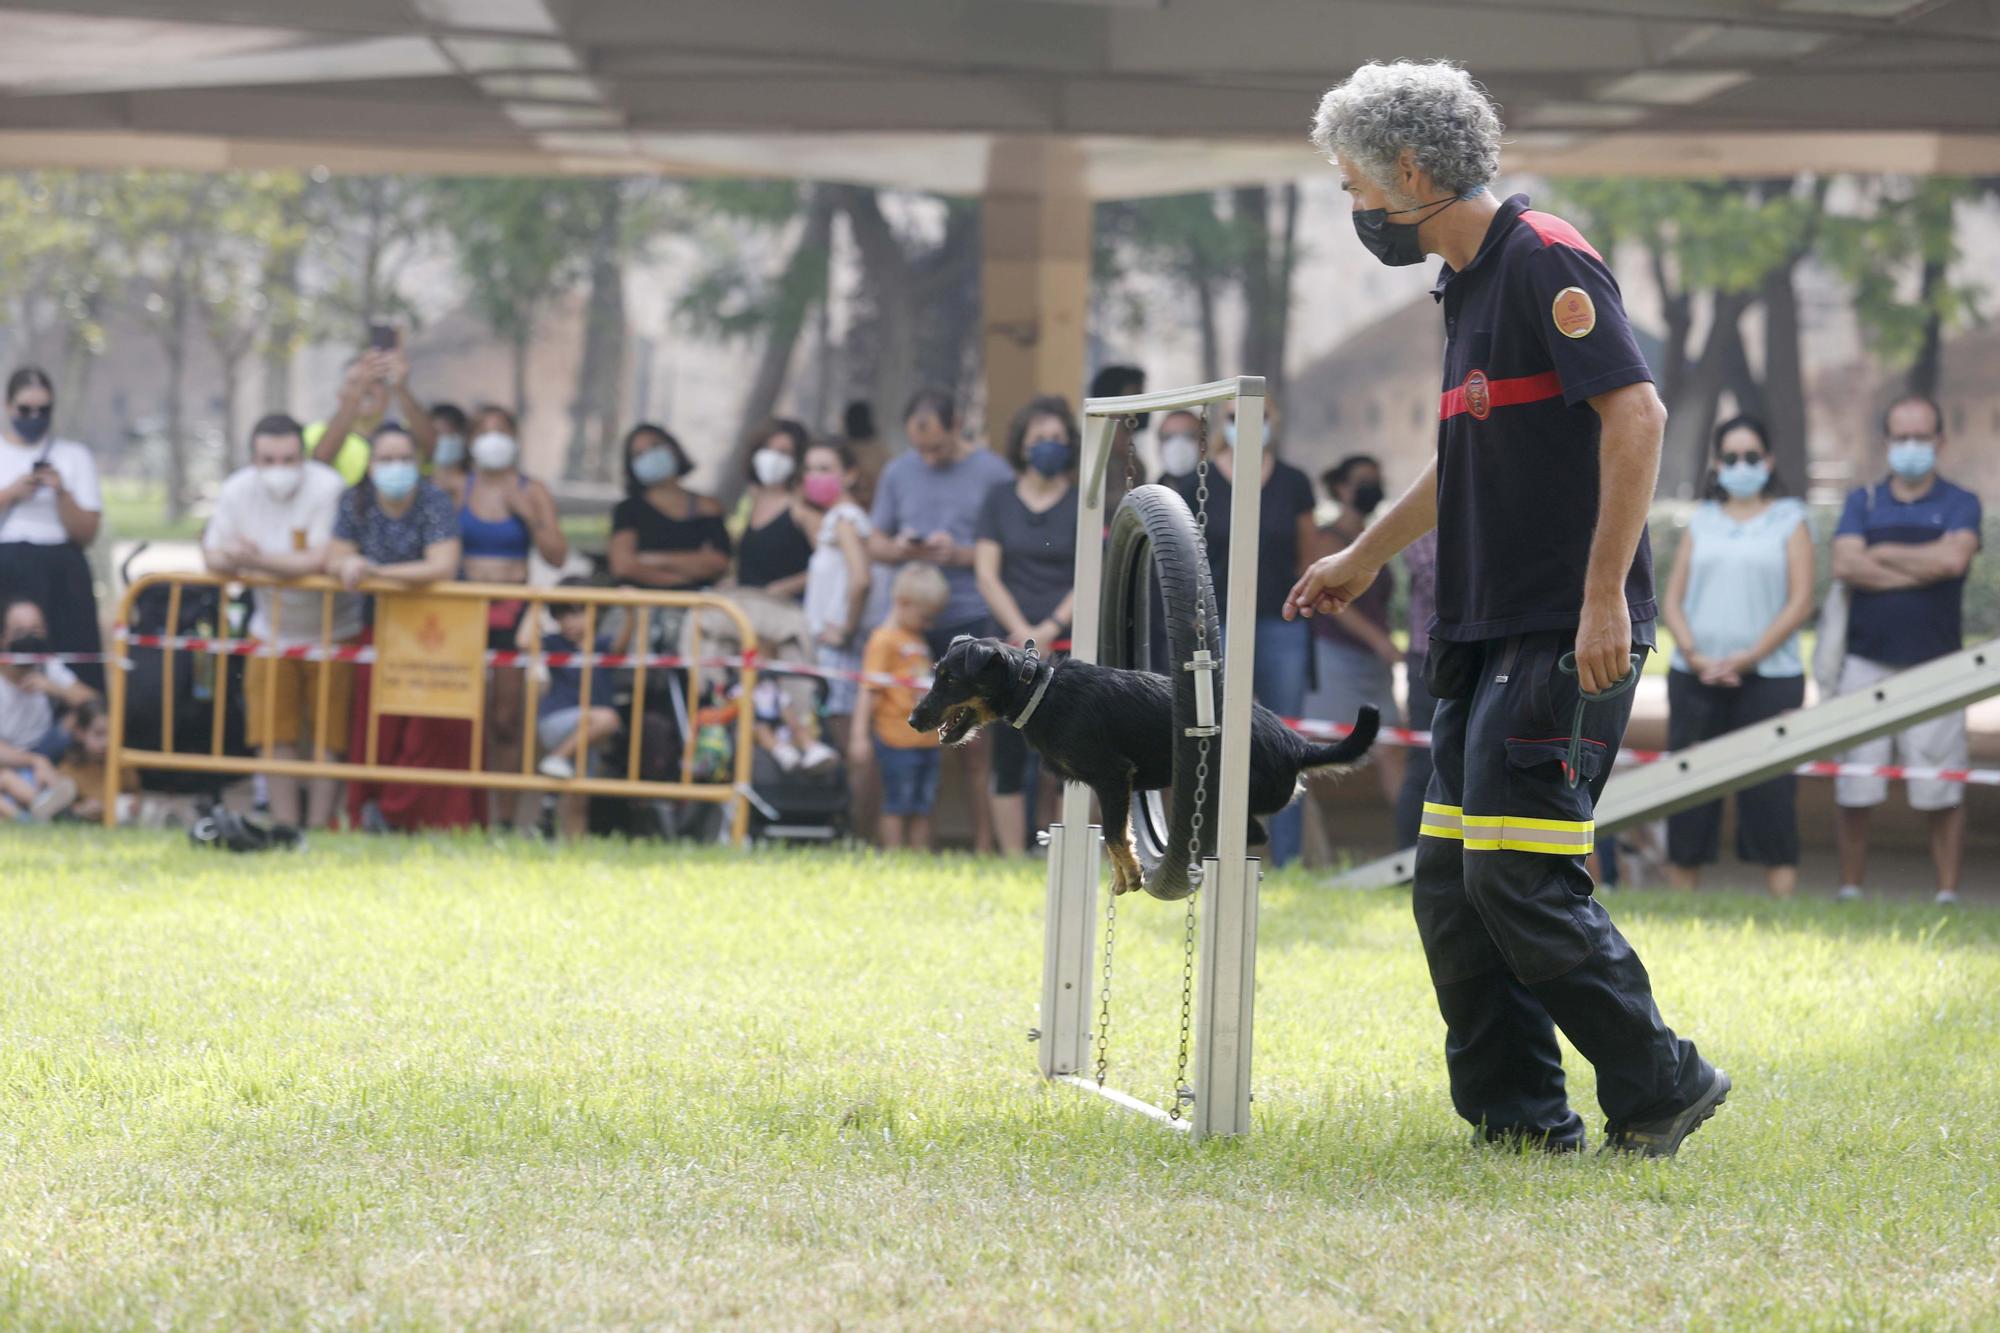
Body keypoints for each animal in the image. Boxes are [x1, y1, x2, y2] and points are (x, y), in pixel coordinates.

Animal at [908, 636, 1376, 892]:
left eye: (950, 679)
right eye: (936, 674)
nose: (913, 720)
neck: (1038, 691)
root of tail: (1297, 746)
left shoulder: (1113, 777)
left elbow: (1116, 834)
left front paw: (1131, 874)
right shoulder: (1115, 787)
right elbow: (1119, 832)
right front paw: (1123, 876)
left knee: (1253, 832)